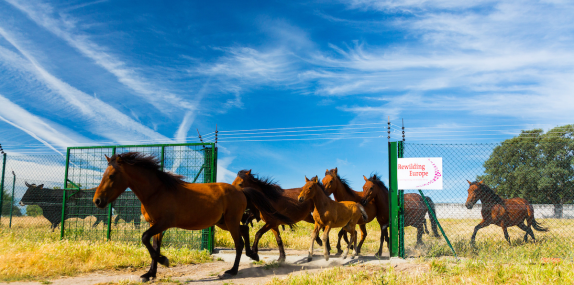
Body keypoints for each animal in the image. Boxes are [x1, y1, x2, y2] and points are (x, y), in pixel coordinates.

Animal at [93, 152, 292, 280]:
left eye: (112, 175)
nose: (97, 201)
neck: (157, 191)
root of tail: (241, 190)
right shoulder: (155, 225)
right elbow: (153, 245)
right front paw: (150, 274)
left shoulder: (163, 223)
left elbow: (145, 239)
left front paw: (164, 261)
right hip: (223, 222)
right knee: (244, 230)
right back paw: (253, 255)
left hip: (230, 221)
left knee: (239, 243)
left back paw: (232, 271)